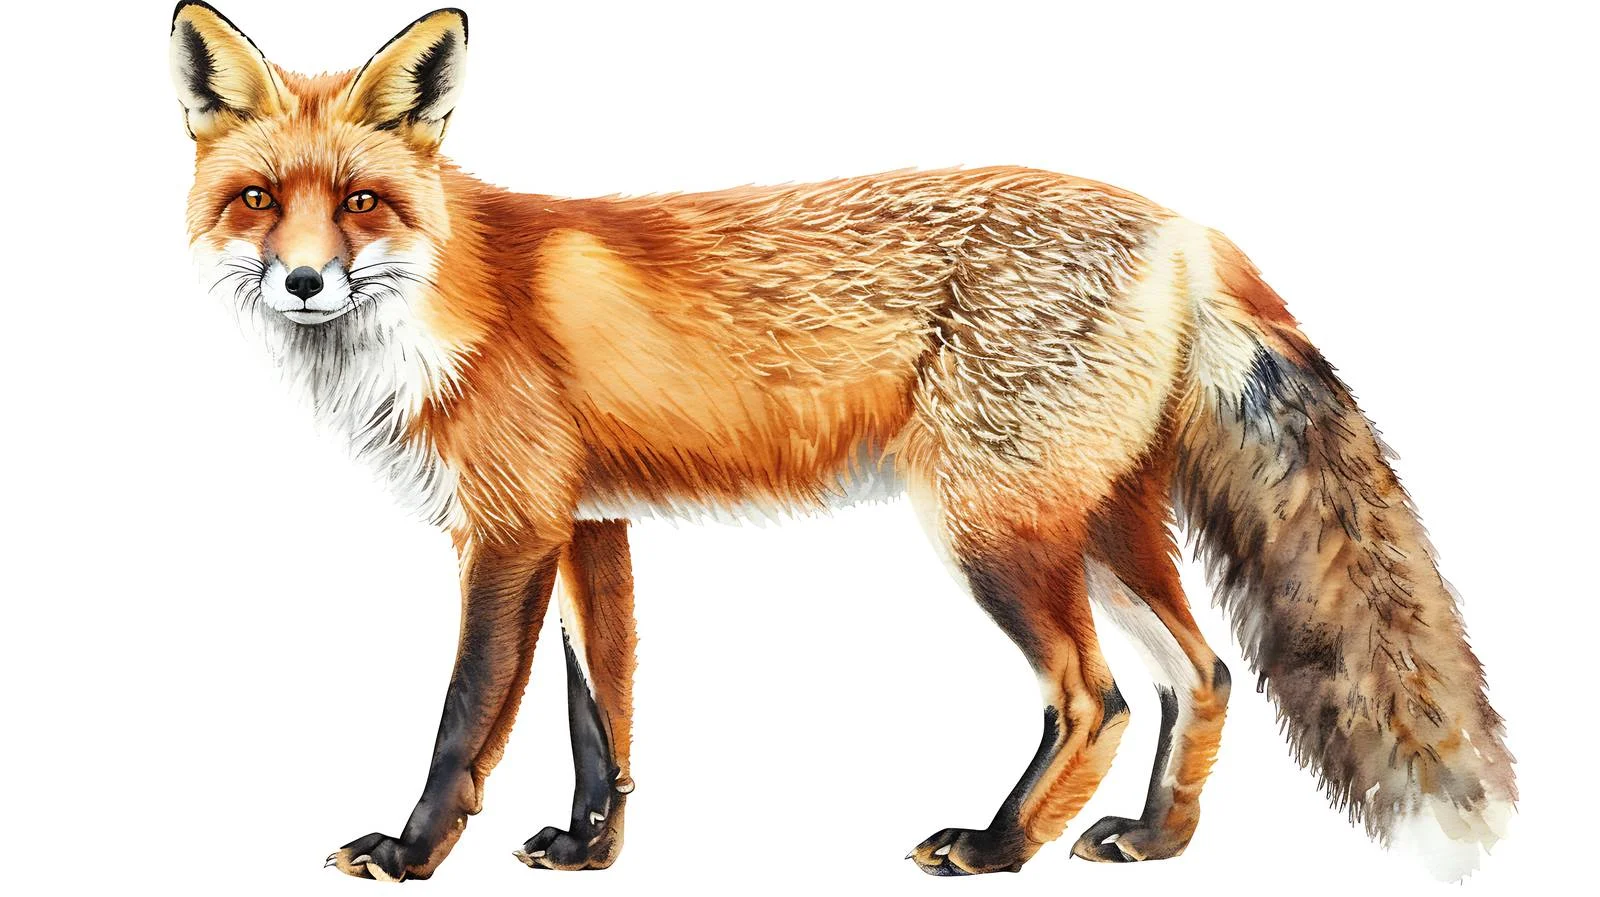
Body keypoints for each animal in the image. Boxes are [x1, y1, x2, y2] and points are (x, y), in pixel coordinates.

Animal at [170, 1, 1514, 884]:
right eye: (256, 201)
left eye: (361, 203)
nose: (301, 282)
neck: (446, 304)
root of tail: (1179, 225)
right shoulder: (586, 521)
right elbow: (602, 714)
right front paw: (592, 847)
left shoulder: (507, 528)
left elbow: (465, 716)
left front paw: (411, 852)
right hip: (1099, 522)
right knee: (1206, 672)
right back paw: (1155, 841)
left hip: (991, 529)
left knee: (1094, 697)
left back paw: (999, 845)